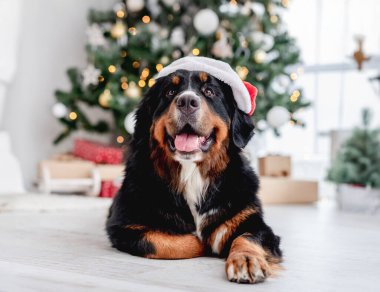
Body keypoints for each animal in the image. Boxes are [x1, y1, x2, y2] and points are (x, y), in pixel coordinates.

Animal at [107, 61, 282, 282]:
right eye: (170, 91)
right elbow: (172, 241)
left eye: (209, 91)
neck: (191, 174)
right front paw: (210, 243)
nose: (187, 101)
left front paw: (246, 259)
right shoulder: (124, 226)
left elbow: (247, 237)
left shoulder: (252, 220)